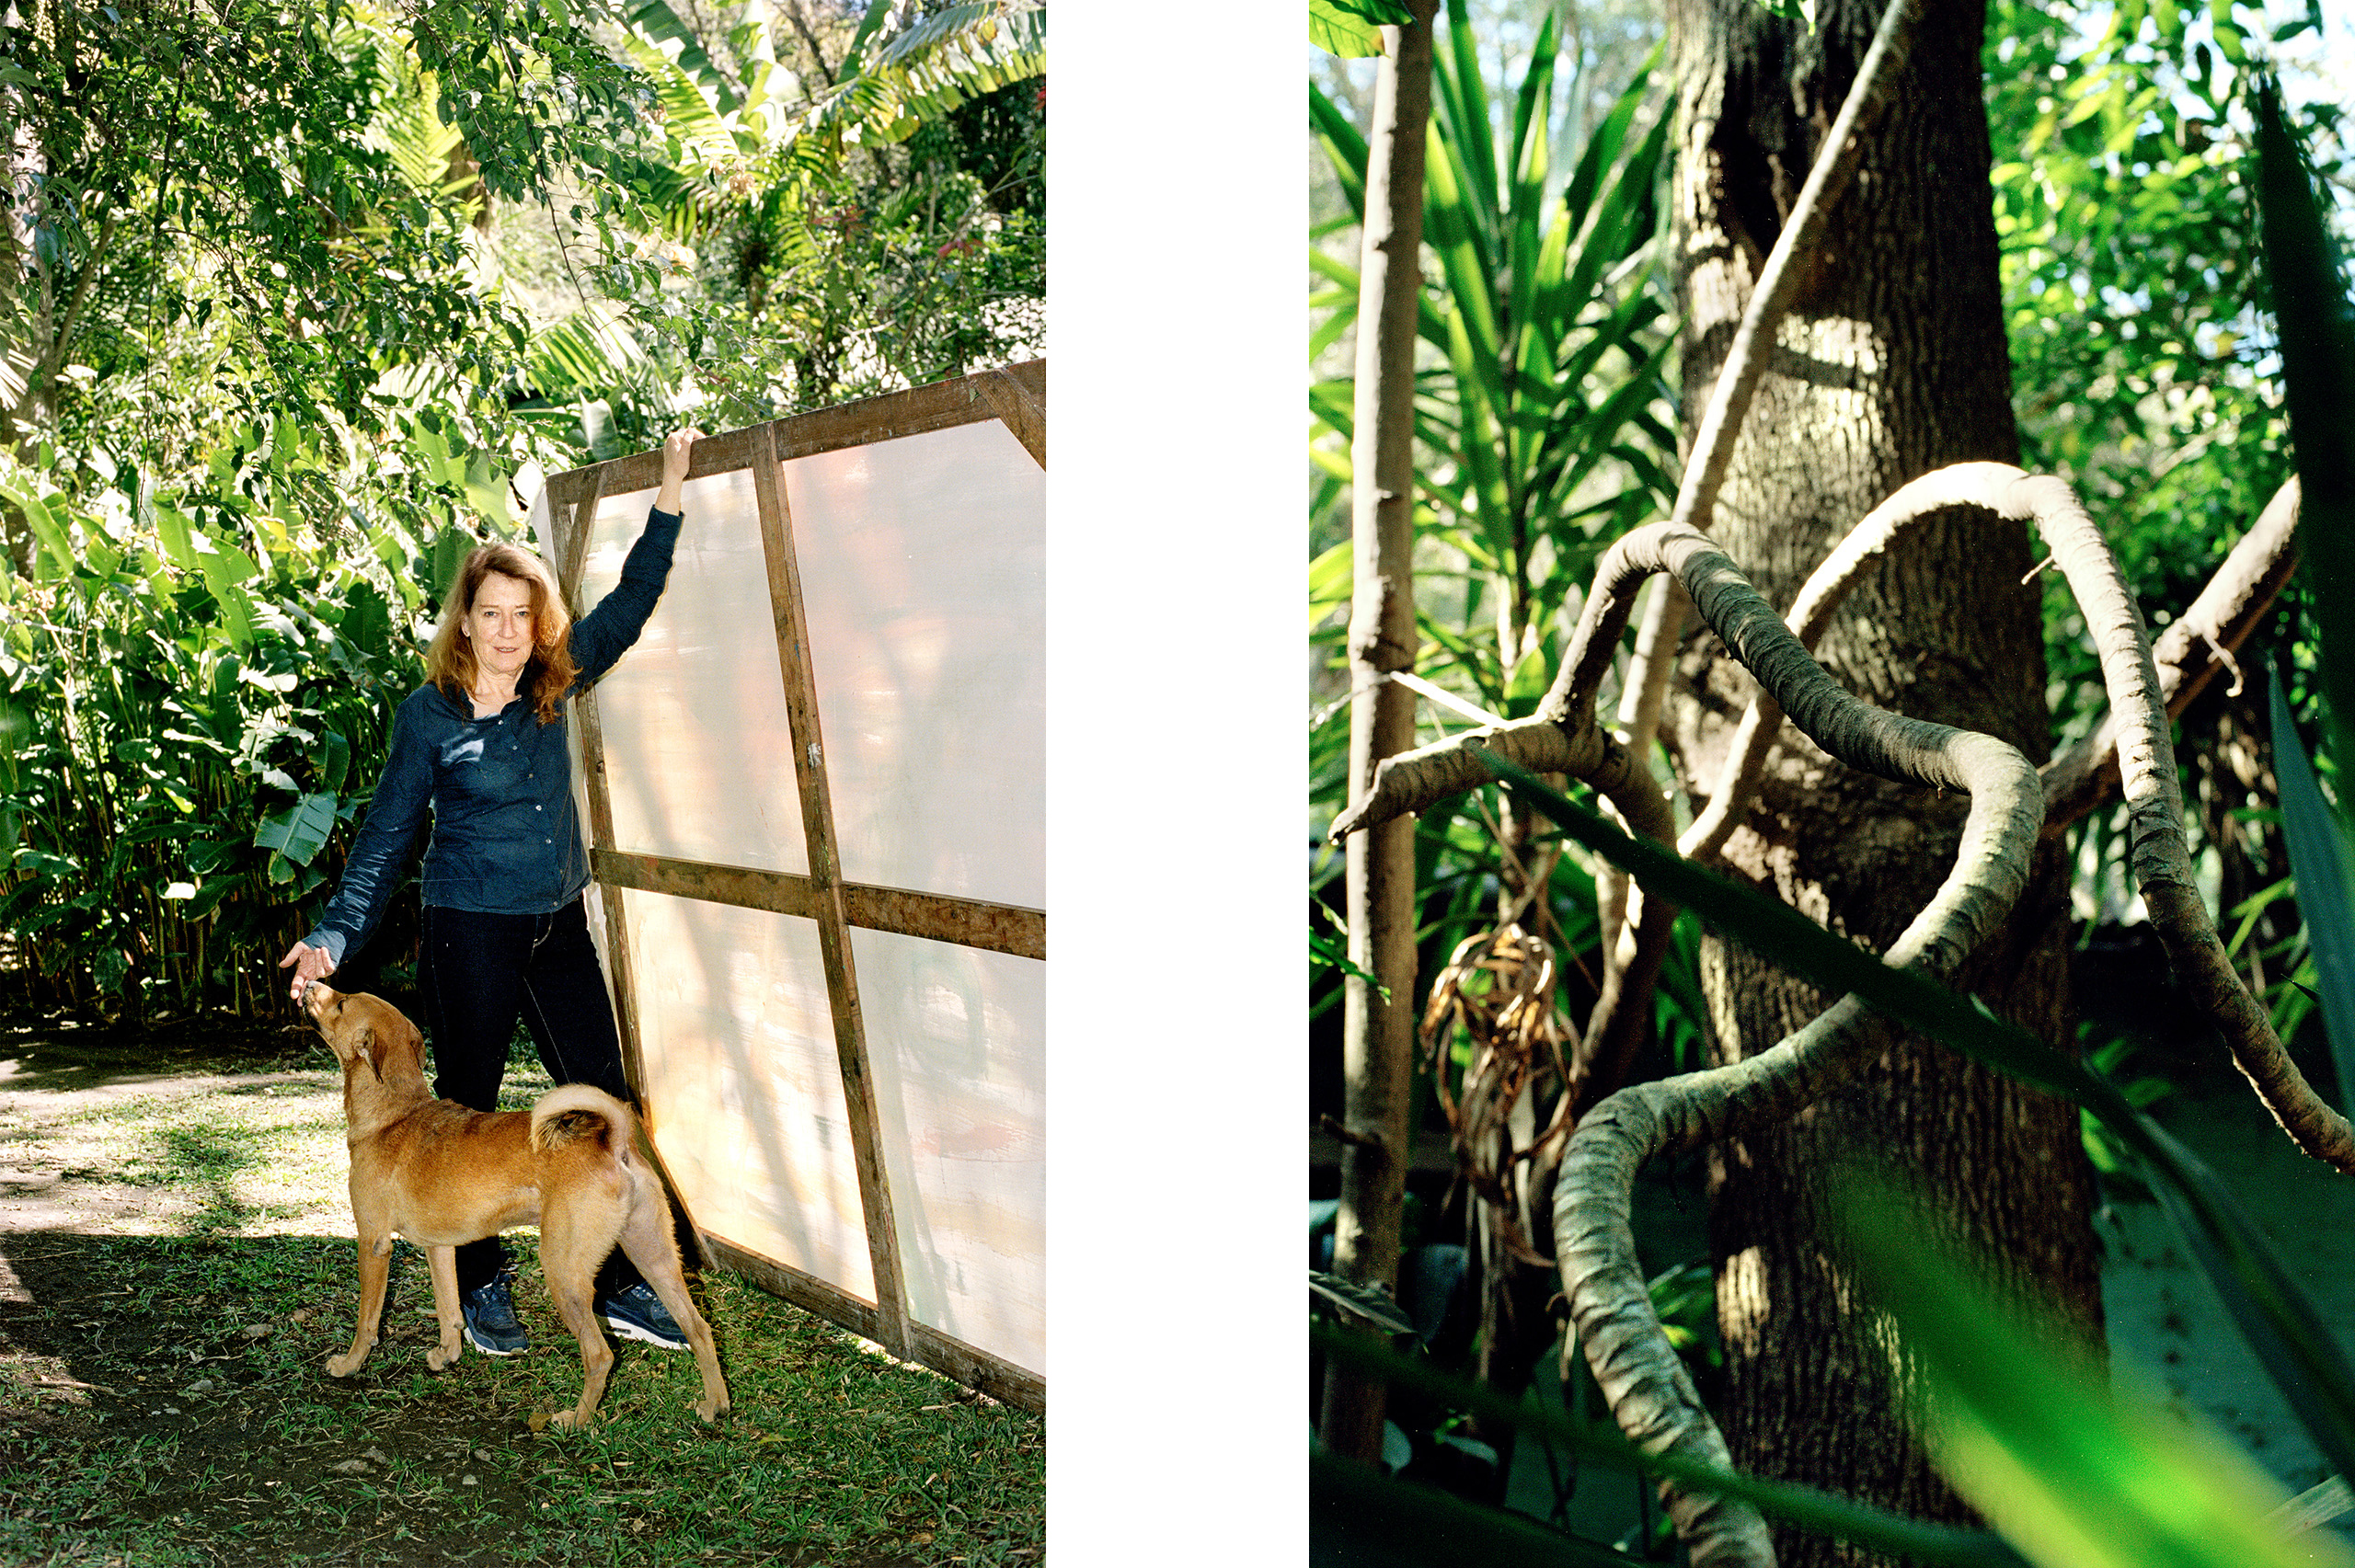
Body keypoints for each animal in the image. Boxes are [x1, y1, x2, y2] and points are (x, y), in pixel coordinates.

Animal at [304, 984, 725, 1422]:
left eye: (341, 1003)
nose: (312, 985)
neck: (395, 1112)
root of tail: (612, 1139)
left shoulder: (373, 1243)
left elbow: (367, 1320)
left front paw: (349, 1364)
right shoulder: (440, 1248)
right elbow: (449, 1309)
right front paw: (447, 1355)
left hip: (564, 1270)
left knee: (600, 1355)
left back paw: (575, 1420)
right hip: (653, 1254)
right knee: (699, 1328)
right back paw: (714, 1404)